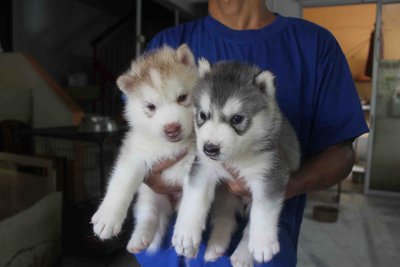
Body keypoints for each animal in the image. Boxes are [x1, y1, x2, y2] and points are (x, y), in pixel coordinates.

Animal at [90, 45, 197, 254]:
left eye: (182, 97)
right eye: (151, 107)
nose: (172, 128)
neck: (171, 146)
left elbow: (195, 200)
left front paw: (187, 235)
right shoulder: (135, 154)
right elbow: (122, 182)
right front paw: (108, 218)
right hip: (149, 194)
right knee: (148, 214)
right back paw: (139, 239)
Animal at [172, 59, 300, 266]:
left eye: (237, 119)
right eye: (203, 115)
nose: (210, 148)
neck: (238, 156)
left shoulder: (271, 172)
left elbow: (263, 209)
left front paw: (263, 242)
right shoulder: (203, 167)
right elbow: (195, 197)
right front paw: (186, 232)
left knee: (248, 226)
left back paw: (243, 255)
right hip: (226, 194)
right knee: (225, 217)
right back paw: (215, 247)